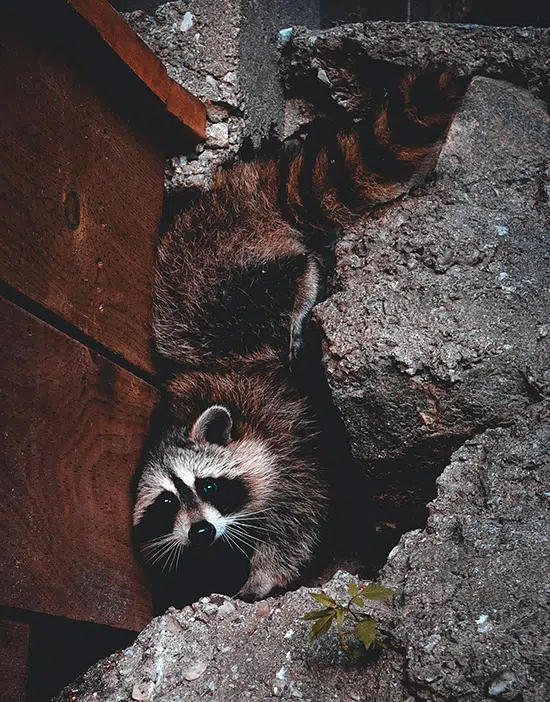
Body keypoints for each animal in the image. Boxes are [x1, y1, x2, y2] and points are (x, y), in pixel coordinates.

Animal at [134, 68, 466, 602]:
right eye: (165, 503)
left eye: (208, 485)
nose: (201, 531)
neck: (176, 419)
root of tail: (228, 200)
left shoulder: (289, 444)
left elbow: (300, 513)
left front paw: (263, 574)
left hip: (224, 290)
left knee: (284, 277)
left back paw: (304, 284)